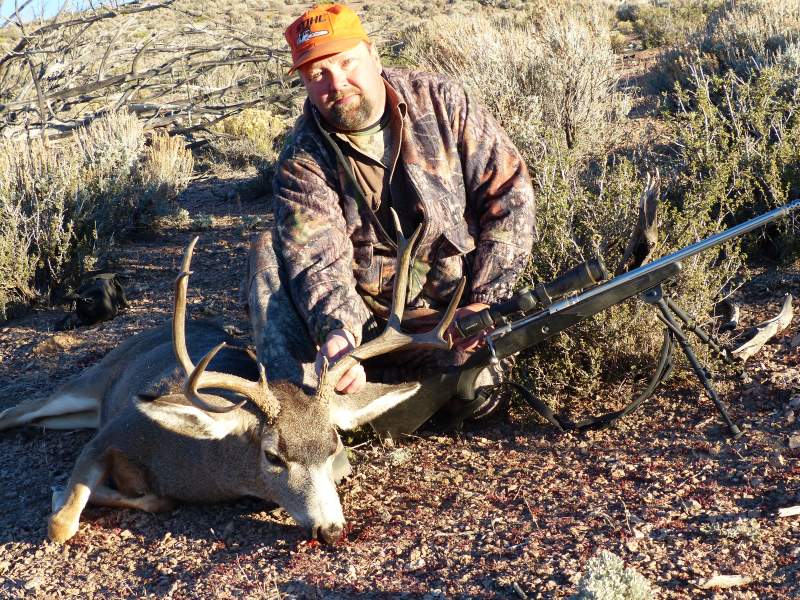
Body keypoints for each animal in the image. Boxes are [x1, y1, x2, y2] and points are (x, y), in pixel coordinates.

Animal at [0, 216, 462, 544]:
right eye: (273, 456)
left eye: (333, 449)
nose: (331, 530)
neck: (191, 462)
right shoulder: (109, 434)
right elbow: (62, 523)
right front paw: (60, 493)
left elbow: (156, 500)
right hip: (90, 381)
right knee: (17, 409)